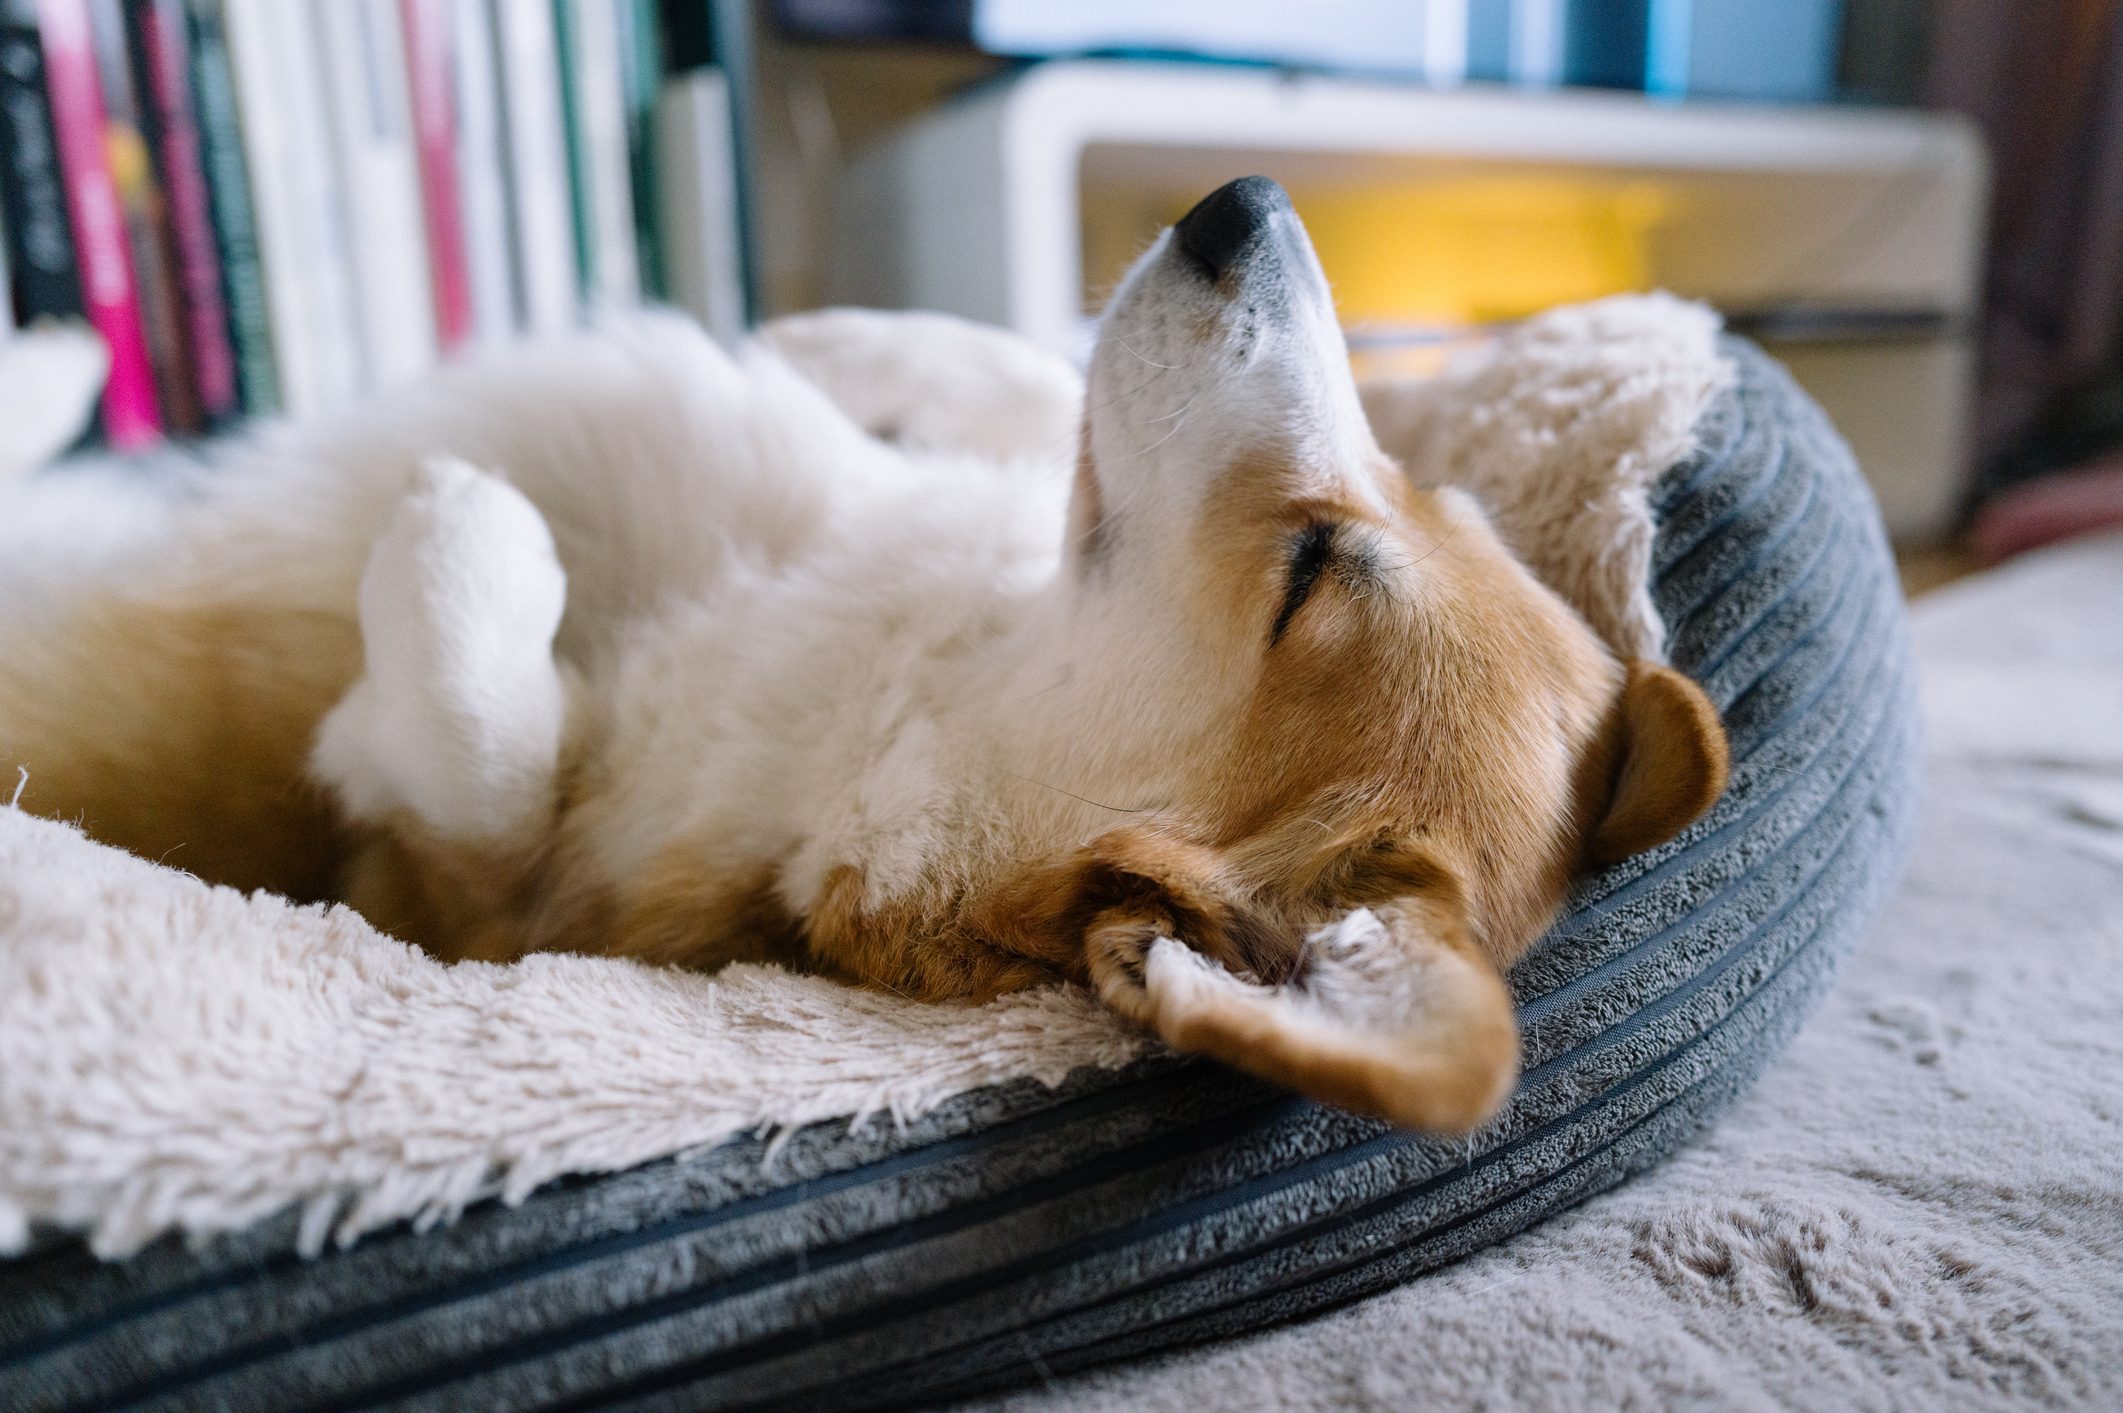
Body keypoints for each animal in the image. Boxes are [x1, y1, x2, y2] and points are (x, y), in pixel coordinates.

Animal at [0, 176, 1723, 1128]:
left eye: (1310, 569)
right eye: (1419, 493)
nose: (1242, 197)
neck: (963, 657)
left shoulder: (435, 890)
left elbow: (481, 764)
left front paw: (470, 524)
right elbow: (1014, 381)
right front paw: (829, 342)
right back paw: (60, 361)